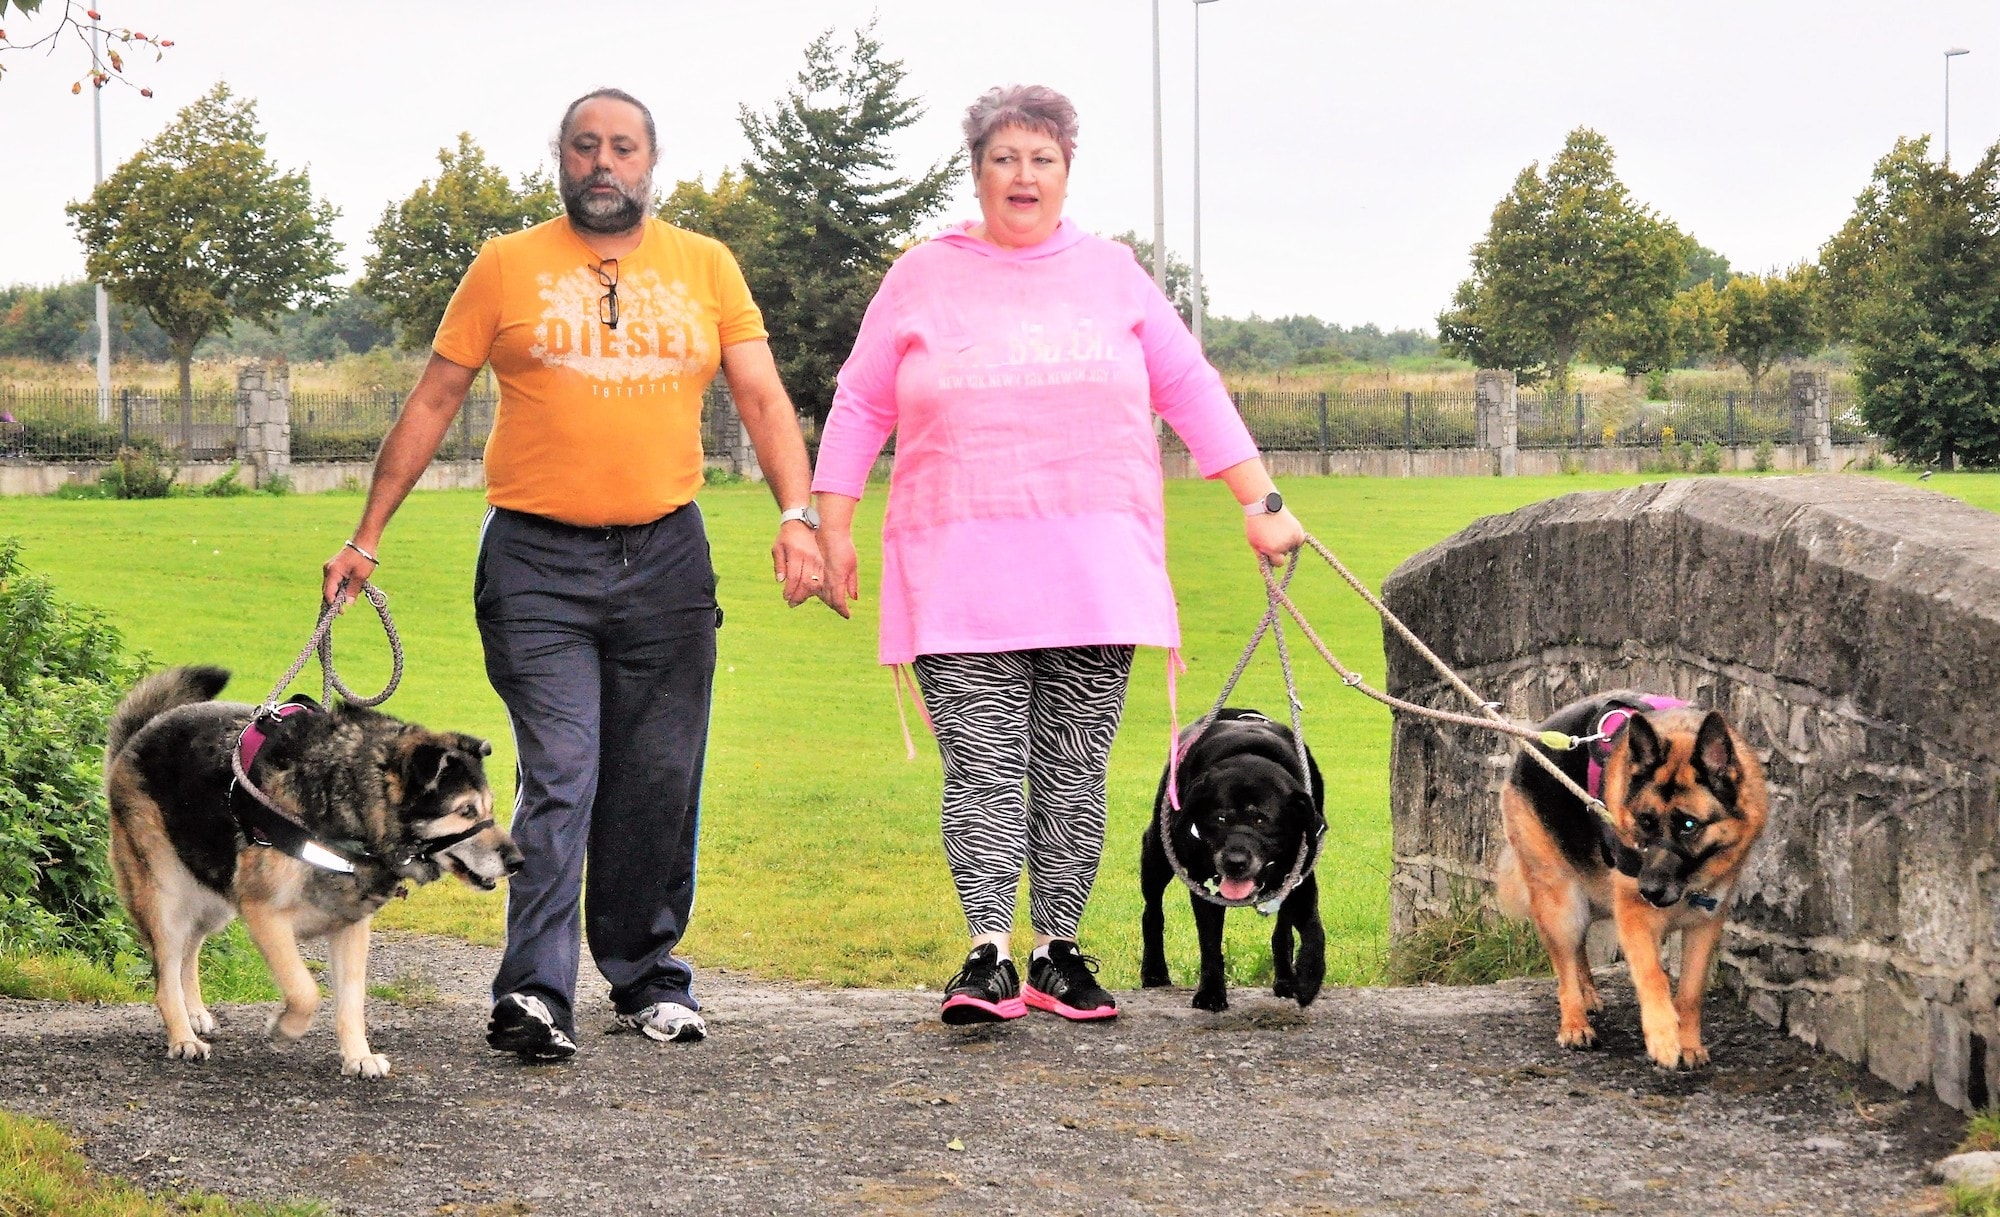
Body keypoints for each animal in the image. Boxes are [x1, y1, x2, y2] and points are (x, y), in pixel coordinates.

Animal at [107, 668, 524, 1080]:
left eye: (490, 808)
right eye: (466, 811)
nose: (518, 861)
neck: (351, 796)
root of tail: (137, 736)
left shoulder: (349, 926)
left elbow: (351, 1002)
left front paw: (358, 1056)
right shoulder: (263, 913)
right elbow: (305, 989)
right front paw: (285, 1027)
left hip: (212, 895)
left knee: (189, 950)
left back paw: (193, 1013)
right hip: (166, 897)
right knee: (166, 974)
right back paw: (182, 1037)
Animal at [1144, 708, 1328, 1012]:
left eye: (1262, 821)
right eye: (1220, 819)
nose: (1235, 861)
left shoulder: (1301, 876)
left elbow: (1313, 929)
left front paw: (1308, 979)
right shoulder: (1202, 881)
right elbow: (1209, 942)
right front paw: (1210, 993)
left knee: (1282, 931)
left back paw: (1286, 979)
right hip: (1155, 851)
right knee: (1153, 911)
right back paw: (1153, 971)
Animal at [1504, 688, 1768, 1072]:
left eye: (1689, 825)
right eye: (1645, 821)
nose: (1649, 890)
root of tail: (1529, 745)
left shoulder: (1704, 926)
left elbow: (1690, 992)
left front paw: (1689, 1043)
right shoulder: (1634, 917)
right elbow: (1653, 975)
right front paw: (1664, 1038)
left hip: (1593, 896)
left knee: (1580, 947)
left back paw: (1588, 994)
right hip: (1563, 903)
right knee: (1564, 964)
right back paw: (1574, 1022)